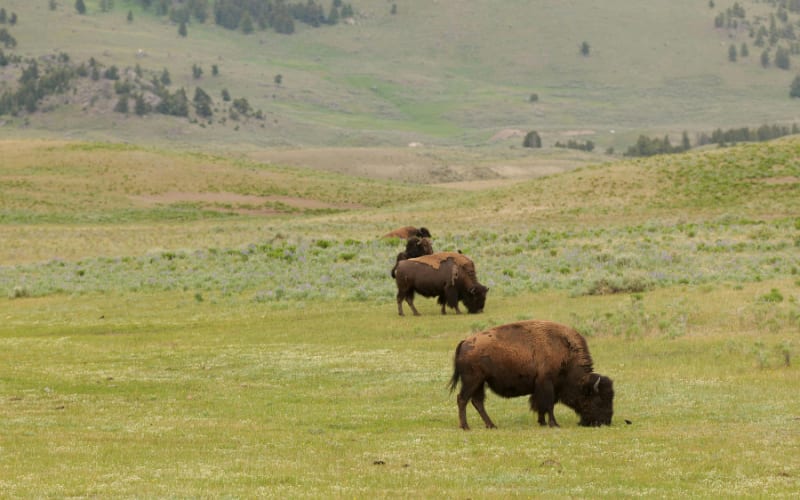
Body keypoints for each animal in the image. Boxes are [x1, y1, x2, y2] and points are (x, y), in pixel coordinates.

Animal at [448, 320, 614, 429]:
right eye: (599, 400)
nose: (606, 421)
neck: (567, 354)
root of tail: (464, 342)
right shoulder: (547, 384)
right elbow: (548, 405)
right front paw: (554, 424)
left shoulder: (542, 387)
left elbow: (541, 405)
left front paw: (542, 422)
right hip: (472, 381)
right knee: (462, 399)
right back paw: (465, 426)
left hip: (480, 383)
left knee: (477, 402)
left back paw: (491, 425)